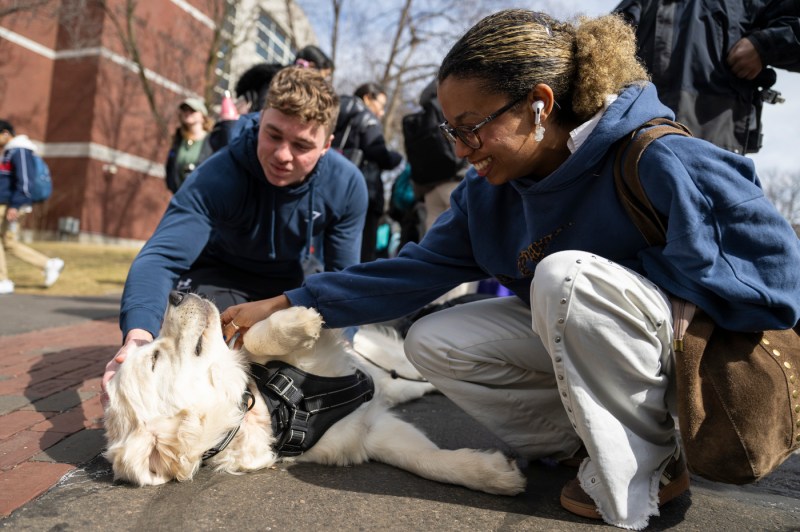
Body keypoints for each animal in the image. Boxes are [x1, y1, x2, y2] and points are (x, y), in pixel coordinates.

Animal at [103, 288, 528, 496]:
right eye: (156, 358)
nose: (176, 295)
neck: (270, 408)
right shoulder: (368, 433)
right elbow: (426, 460)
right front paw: (491, 474)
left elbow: (255, 339)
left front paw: (299, 318)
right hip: (396, 385)